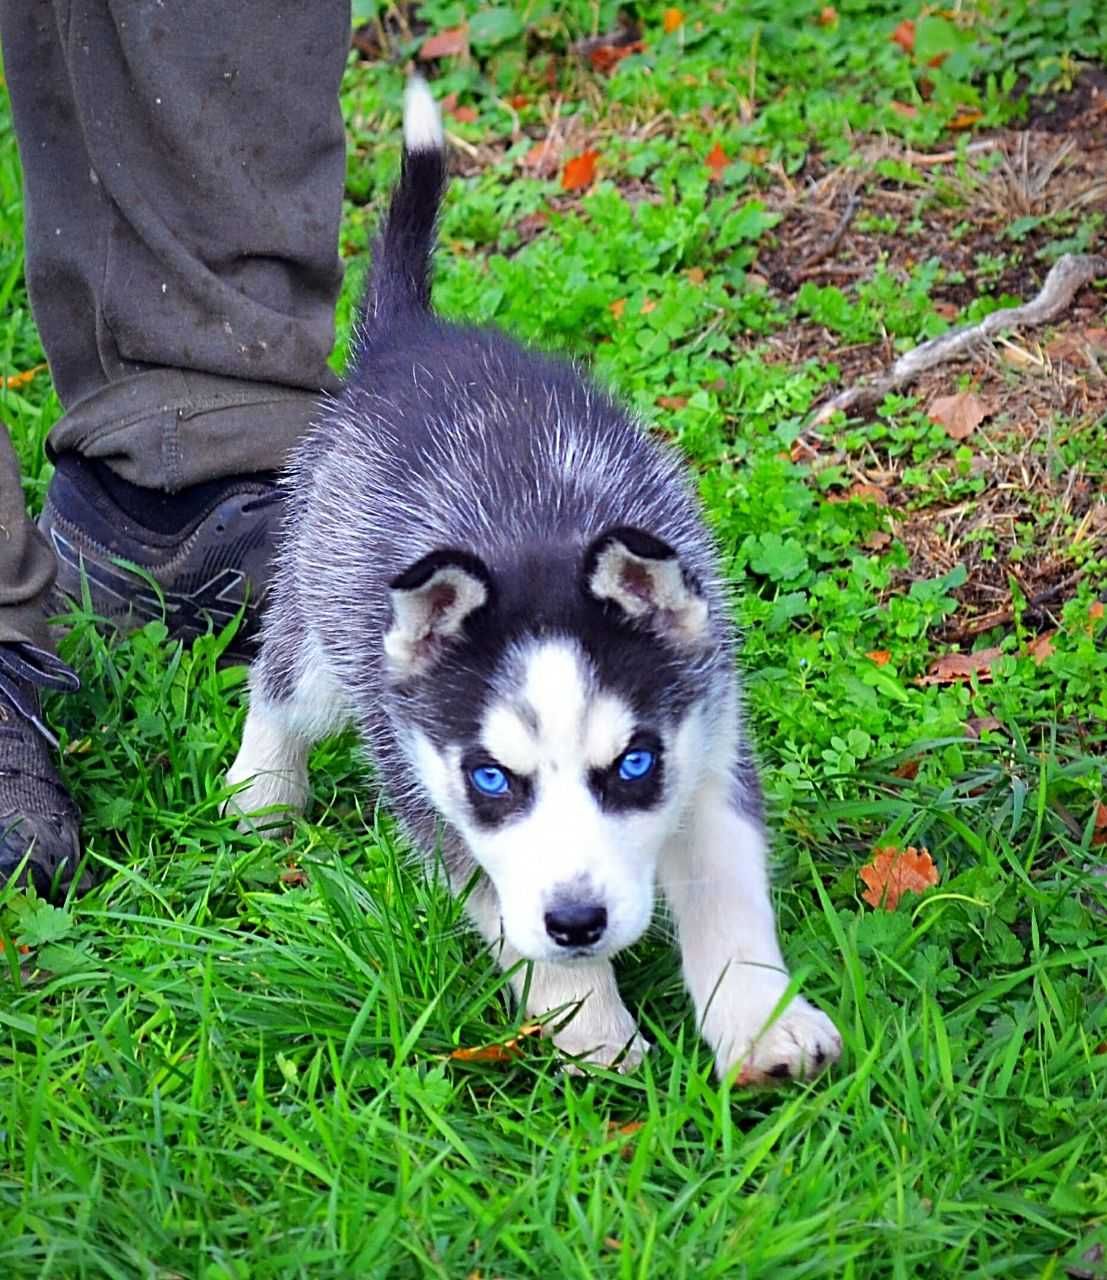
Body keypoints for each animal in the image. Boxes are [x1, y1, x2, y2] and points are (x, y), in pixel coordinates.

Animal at [229, 77, 844, 1080]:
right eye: (491, 780)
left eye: (631, 764)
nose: (577, 921)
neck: (534, 539)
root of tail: (410, 339)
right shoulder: (428, 786)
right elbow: (505, 914)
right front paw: (590, 1025)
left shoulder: (708, 743)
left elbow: (727, 890)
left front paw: (761, 1022)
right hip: (329, 634)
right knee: (279, 685)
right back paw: (260, 795)